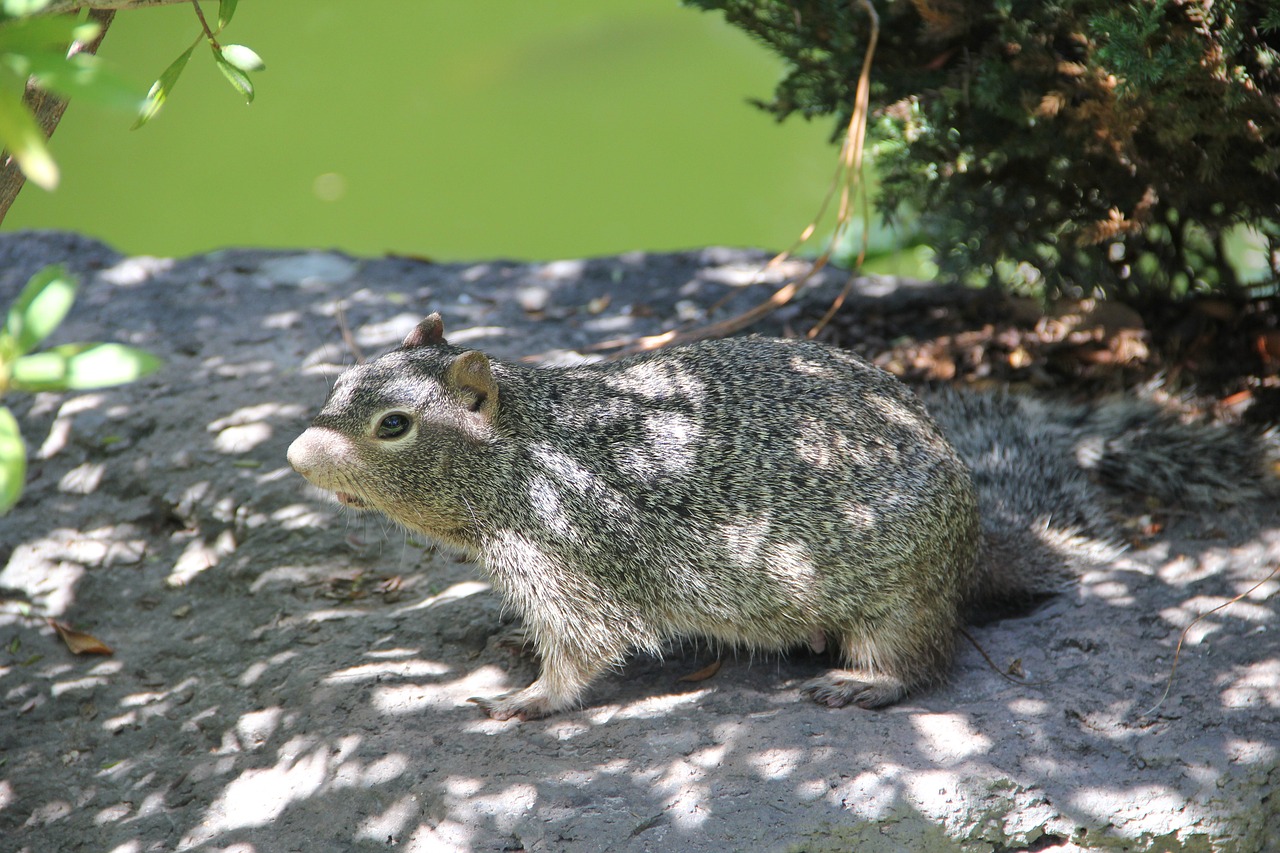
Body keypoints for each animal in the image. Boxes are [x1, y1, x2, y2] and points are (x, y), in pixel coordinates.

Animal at [285, 312, 1274, 717]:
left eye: (393, 424)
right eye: (339, 380)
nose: (294, 453)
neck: (522, 454)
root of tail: (973, 548)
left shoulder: (568, 562)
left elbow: (582, 651)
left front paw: (529, 697)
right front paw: (504, 638)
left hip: (894, 602)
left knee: (925, 657)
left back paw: (864, 682)